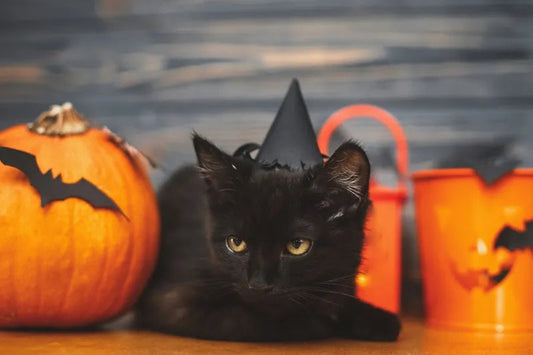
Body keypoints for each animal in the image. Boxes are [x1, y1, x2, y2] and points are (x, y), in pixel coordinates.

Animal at [135, 135, 402, 344]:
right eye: (236, 242)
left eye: (298, 245)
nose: (259, 285)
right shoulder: (171, 303)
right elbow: (251, 321)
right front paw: (320, 321)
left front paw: (377, 319)